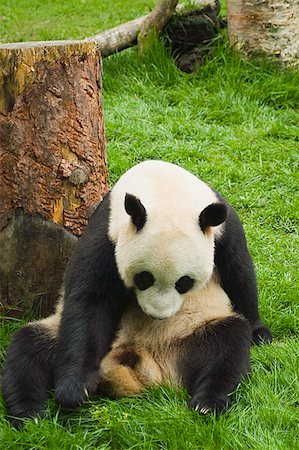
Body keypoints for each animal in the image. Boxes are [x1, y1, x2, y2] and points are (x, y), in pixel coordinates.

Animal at [1, 161, 272, 426]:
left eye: (184, 283)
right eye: (144, 278)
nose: (159, 315)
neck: (165, 191)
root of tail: (148, 363)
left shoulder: (225, 229)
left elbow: (239, 275)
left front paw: (259, 332)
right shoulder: (106, 234)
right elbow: (89, 301)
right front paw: (74, 389)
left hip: (195, 329)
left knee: (228, 347)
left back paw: (207, 403)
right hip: (58, 336)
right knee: (27, 350)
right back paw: (29, 414)